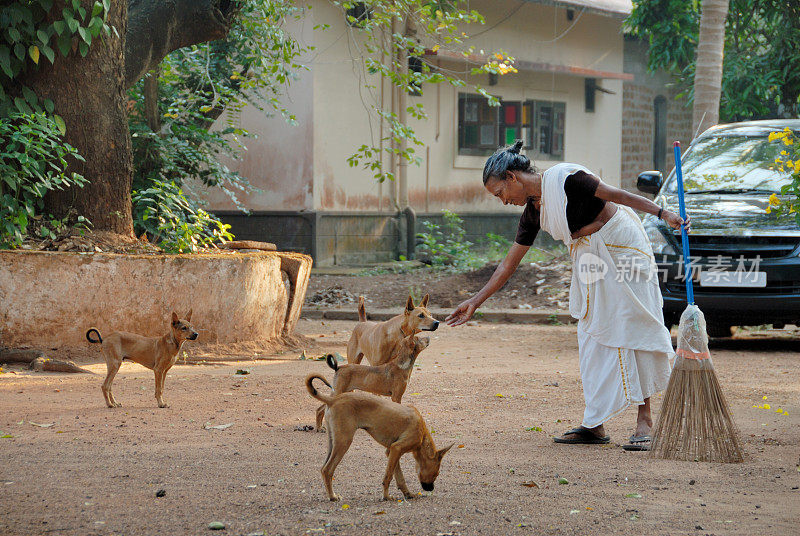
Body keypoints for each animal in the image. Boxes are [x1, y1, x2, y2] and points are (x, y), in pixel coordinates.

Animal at [306, 374, 454, 500]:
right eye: (436, 474)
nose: (431, 489)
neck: (422, 434)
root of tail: (333, 399)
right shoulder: (396, 449)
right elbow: (388, 477)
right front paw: (386, 497)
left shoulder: (392, 451)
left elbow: (399, 477)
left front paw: (407, 493)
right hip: (344, 442)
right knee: (328, 470)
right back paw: (332, 497)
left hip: (333, 441)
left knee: (323, 469)